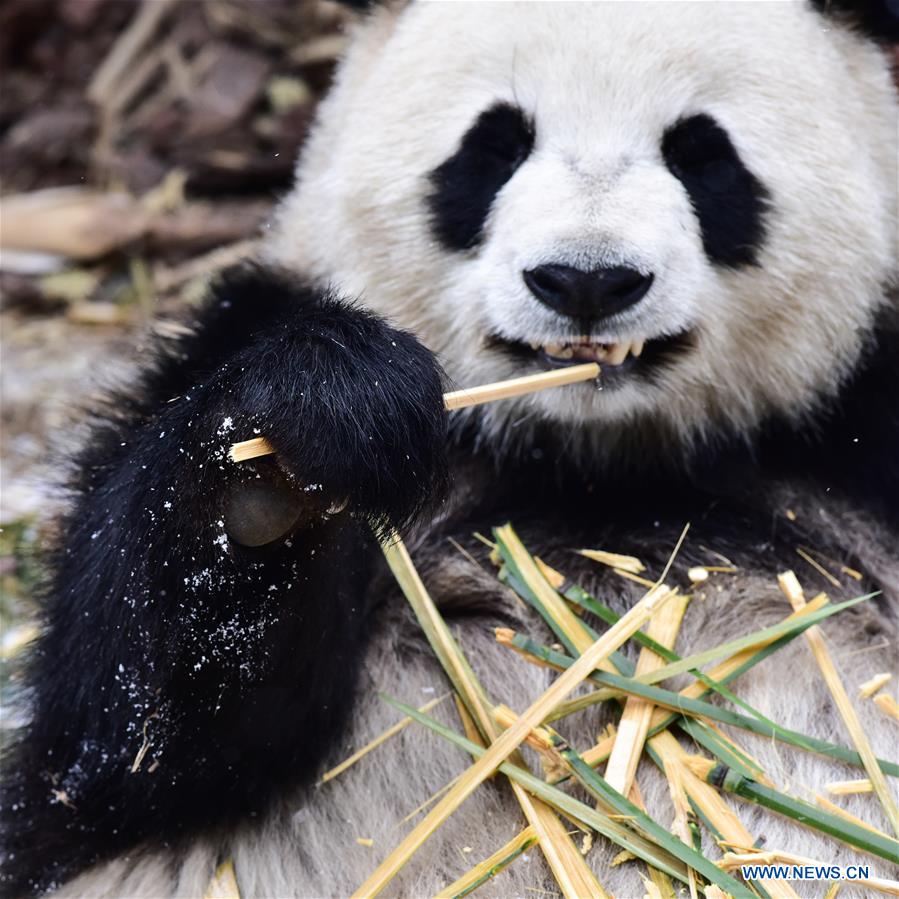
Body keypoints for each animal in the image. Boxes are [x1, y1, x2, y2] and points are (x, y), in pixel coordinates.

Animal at [1, 0, 899, 896]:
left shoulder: (855, 428)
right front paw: (303, 441)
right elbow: (128, 740)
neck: (591, 463)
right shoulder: (233, 337)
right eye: (494, 144)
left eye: (702, 153)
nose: (585, 280)